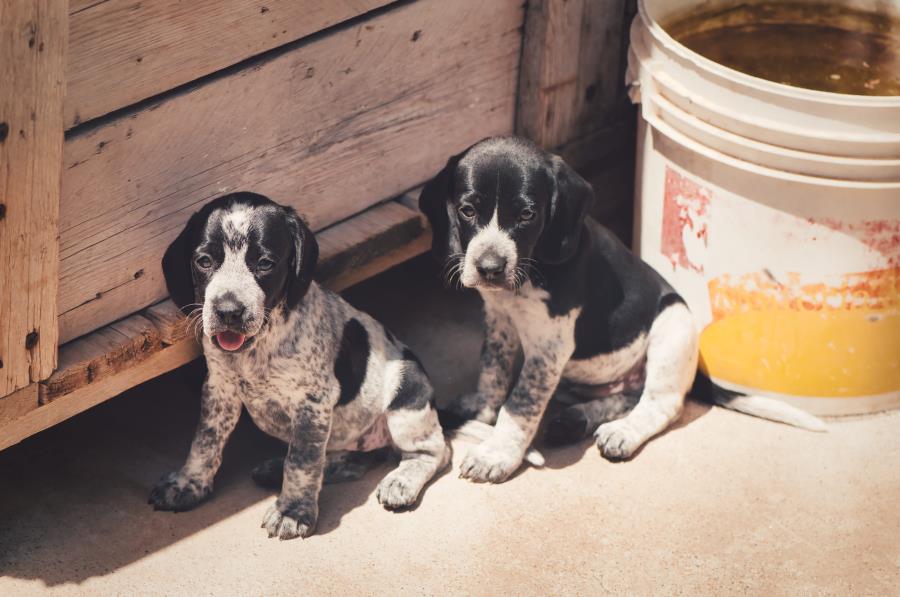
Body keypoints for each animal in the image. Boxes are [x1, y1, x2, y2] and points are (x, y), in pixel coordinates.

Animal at [152, 193, 458, 536]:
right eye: (204, 261)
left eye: (265, 263)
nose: (228, 312)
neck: (257, 347)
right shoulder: (220, 390)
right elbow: (205, 441)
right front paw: (188, 483)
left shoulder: (312, 403)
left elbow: (302, 461)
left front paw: (293, 511)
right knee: (350, 461)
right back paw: (278, 469)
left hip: (408, 394)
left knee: (435, 451)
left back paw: (401, 481)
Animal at [422, 135, 824, 480]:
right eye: (467, 210)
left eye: (526, 215)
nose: (489, 268)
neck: (530, 273)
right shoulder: (499, 321)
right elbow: (493, 370)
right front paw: (482, 408)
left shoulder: (550, 348)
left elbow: (521, 404)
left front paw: (497, 454)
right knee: (625, 396)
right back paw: (577, 420)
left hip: (673, 324)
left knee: (661, 403)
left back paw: (622, 433)